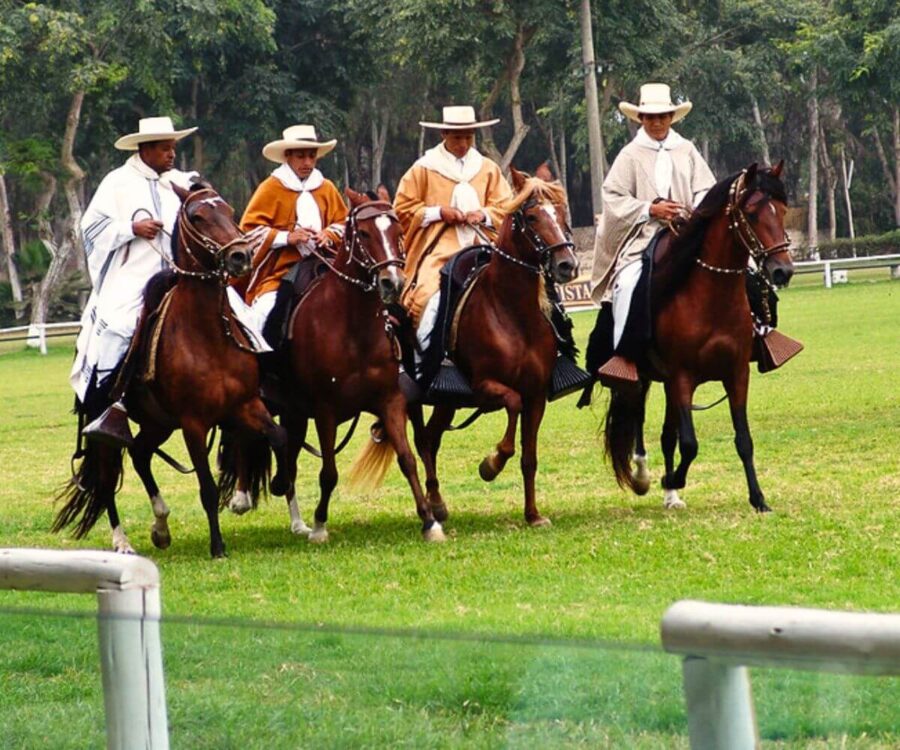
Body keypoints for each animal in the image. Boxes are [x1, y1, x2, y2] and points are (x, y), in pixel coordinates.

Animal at [54, 185, 286, 560]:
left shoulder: (245, 404)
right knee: (106, 478)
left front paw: (280, 483)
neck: (206, 335)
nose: (240, 256)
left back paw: (160, 527)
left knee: (139, 454)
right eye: (198, 216)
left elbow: (279, 436)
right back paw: (122, 542)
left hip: (158, 422)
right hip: (107, 426)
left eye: (228, 209)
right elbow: (207, 488)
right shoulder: (193, 423)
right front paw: (217, 547)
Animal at [404, 166, 580, 528]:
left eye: (560, 213)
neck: (513, 313)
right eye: (532, 216)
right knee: (422, 440)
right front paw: (491, 463)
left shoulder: (536, 395)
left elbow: (529, 457)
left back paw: (438, 503)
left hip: (446, 403)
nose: (567, 265)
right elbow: (511, 407)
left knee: (431, 438)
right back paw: (433, 504)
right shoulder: (484, 386)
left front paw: (533, 515)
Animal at [600, 162, 792, 516]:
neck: (710, 298)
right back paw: (644, 476)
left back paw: (670, 496)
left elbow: (743, 440)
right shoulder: (682, 376)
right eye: (752, 213)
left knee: (666, 434)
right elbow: (689, 444)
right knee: (638, 421)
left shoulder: (736, 374)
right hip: (641, 378)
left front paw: (758, 499)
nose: (782, 271)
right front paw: (671, 478)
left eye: (783, 210)